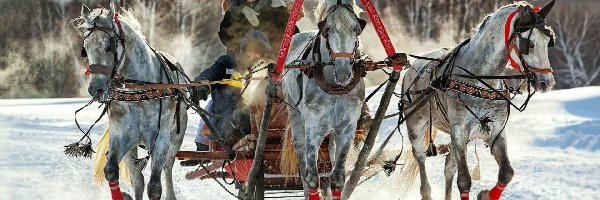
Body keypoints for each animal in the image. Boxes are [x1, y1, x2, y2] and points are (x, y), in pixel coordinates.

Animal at [77, 3, 186, 200]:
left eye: (109, 47)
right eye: (86, 48)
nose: (96, 89)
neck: (139, 92)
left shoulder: (161, 140)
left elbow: (155, 187)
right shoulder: (121, 136)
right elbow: (112, 171)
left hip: (175, 140)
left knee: (167, 168)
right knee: (138, 178)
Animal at [280, 0, 366, 198]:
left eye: (356, 28)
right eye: (327, 29)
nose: (343, 72)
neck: (335, 88)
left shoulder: (346, 130)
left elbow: (337, 178)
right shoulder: (313, 129)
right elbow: (312, 177)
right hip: (296, 118)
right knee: (303, 165)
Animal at [404, 1, 556, 200]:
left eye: (548, 41)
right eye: (529, 43)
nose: (547, 82)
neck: (479, 78)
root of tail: (412, 67)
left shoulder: (496, 131)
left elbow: (507, 173)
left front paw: (485, 194)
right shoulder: (459, 132)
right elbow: (464, 181)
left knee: (449, 167)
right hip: (415, 124)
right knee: (421, 157)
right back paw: (426, 189)